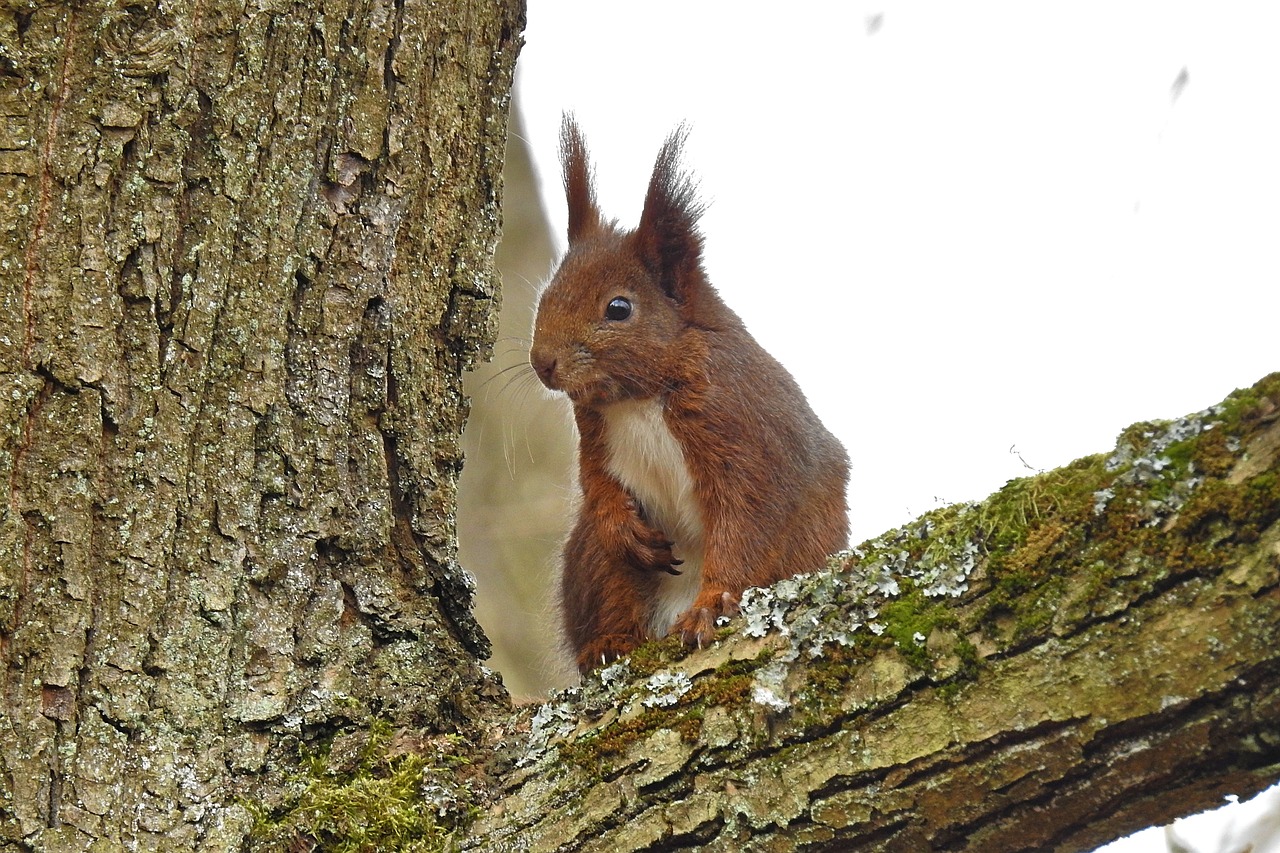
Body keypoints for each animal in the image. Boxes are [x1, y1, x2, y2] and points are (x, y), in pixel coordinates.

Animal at [529, 116, 849, 671]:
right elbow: (595, 482)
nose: (542, 363)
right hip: (593, 559)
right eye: (548, 293)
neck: (639, 397)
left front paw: (711, 606)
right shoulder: (593, 432)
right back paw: (608, 644)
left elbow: (747, 524)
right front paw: (621, 525)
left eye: (619, 308)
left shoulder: (744, 431)